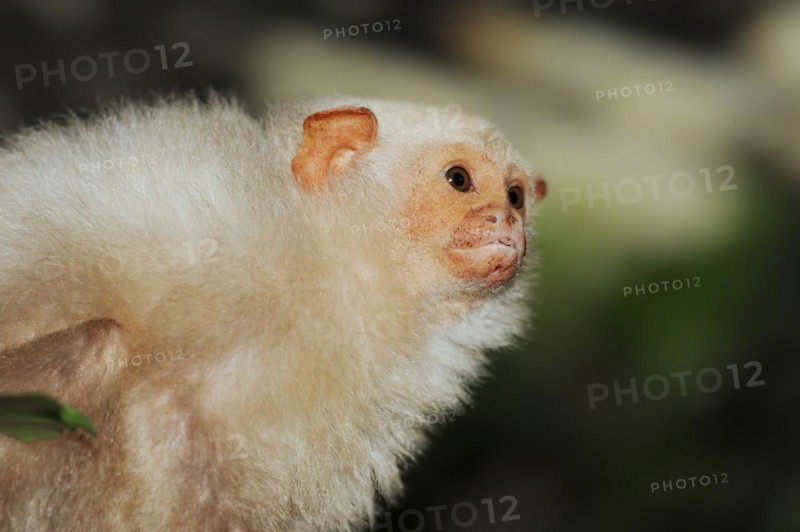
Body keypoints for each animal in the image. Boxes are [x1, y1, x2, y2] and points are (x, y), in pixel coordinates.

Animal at [0, 94, 546, 531]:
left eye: (515, 195)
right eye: (459, 180)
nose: (506, 221)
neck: (335, 261)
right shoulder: (230, 267)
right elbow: (160, 402)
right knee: (100, 346)